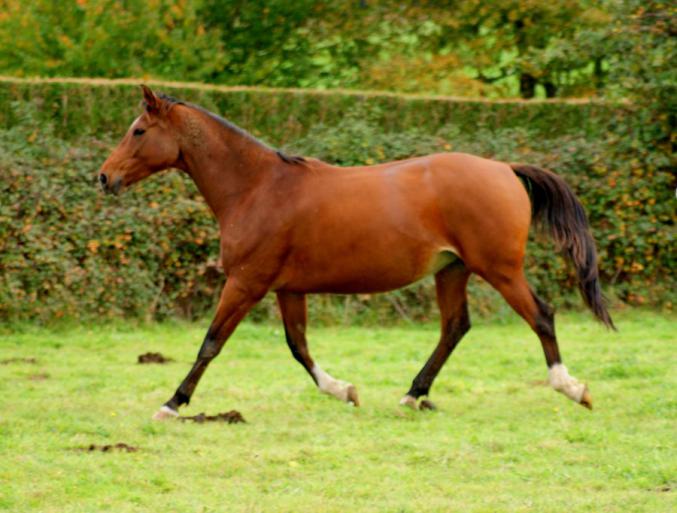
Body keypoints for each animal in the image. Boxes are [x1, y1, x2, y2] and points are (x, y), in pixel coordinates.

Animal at [98, 86, 614, 420]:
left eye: (139, 131)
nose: (104, 178)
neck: (257, 188)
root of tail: (505, 169)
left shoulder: (245, 282)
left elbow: (211, 342)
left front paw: (172, 403)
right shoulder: (287, 288)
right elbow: (298, 346)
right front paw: (344, 390)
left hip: (500, 269)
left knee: (541, 316)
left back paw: (572, 388)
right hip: (453, 270)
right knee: (454, 327)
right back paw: (412, 395)